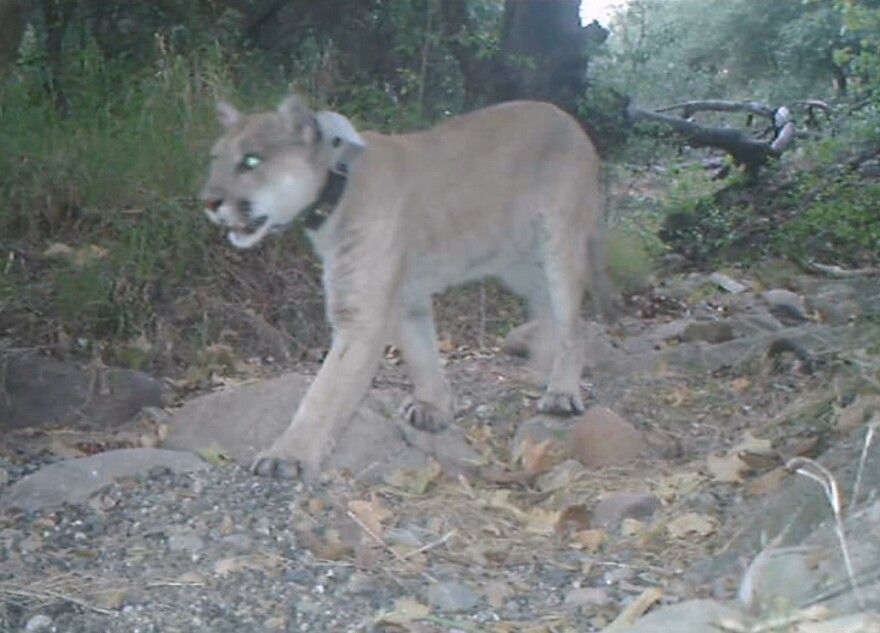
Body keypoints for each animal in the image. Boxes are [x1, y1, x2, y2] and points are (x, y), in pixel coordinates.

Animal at [200, 94, 605, 479]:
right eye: (216, 158)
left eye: (251, 160)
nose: (208, 201)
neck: (336, 187)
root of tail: (564, 116)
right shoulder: (405, 295)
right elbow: (420, 350)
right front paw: (433, 406)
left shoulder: (362, 315)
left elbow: (324, 391)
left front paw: (287, 455)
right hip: (516, 266)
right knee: (547, 310)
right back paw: (545, 367)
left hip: (560, 244)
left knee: (574, 322)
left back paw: (561, 392)